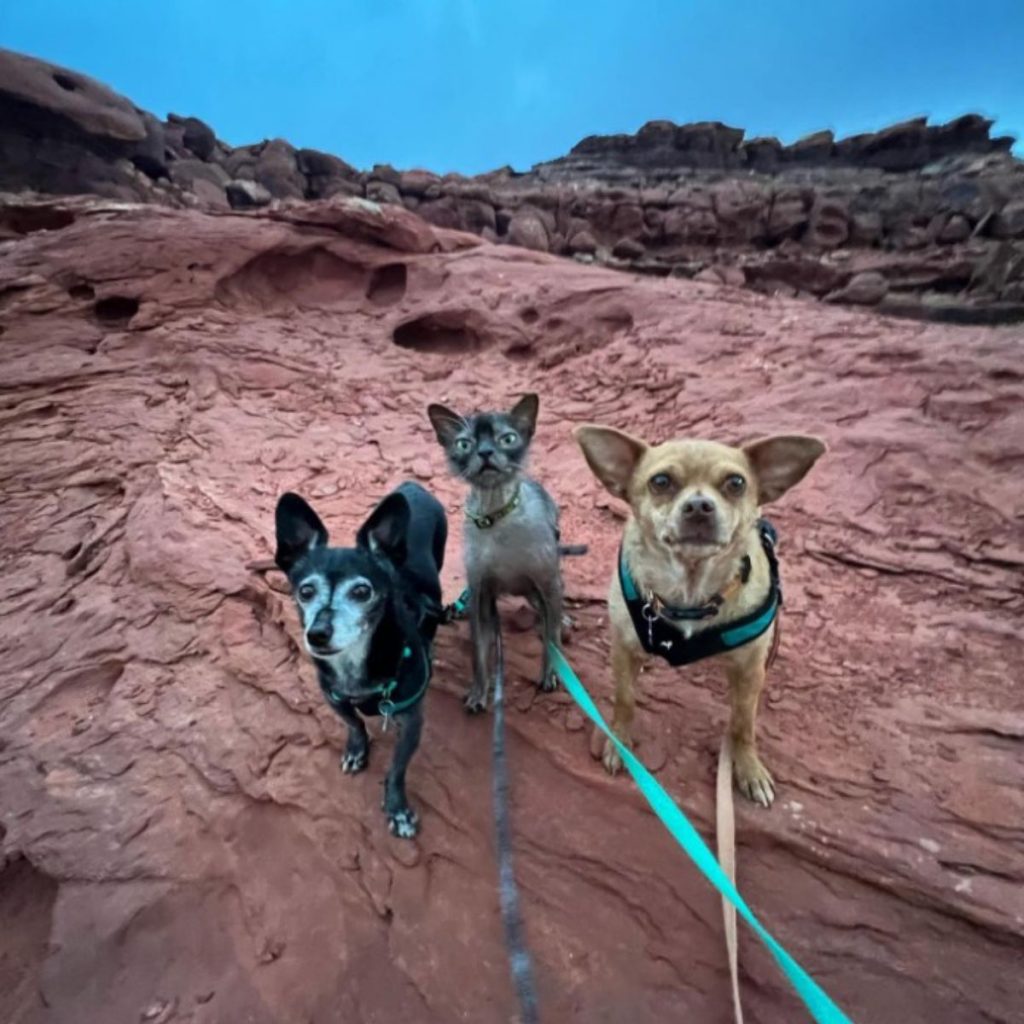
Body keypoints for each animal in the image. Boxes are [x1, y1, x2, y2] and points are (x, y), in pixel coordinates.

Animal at [274, 483, 446, 835]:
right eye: (305, 591)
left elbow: (396, 770)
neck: (354, 663)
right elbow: (354, 723)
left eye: (362, 592)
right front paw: (356, 749)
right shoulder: (333, 697)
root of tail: (413, 486)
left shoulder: (412, 722)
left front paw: (397, 810)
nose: (317, 634)